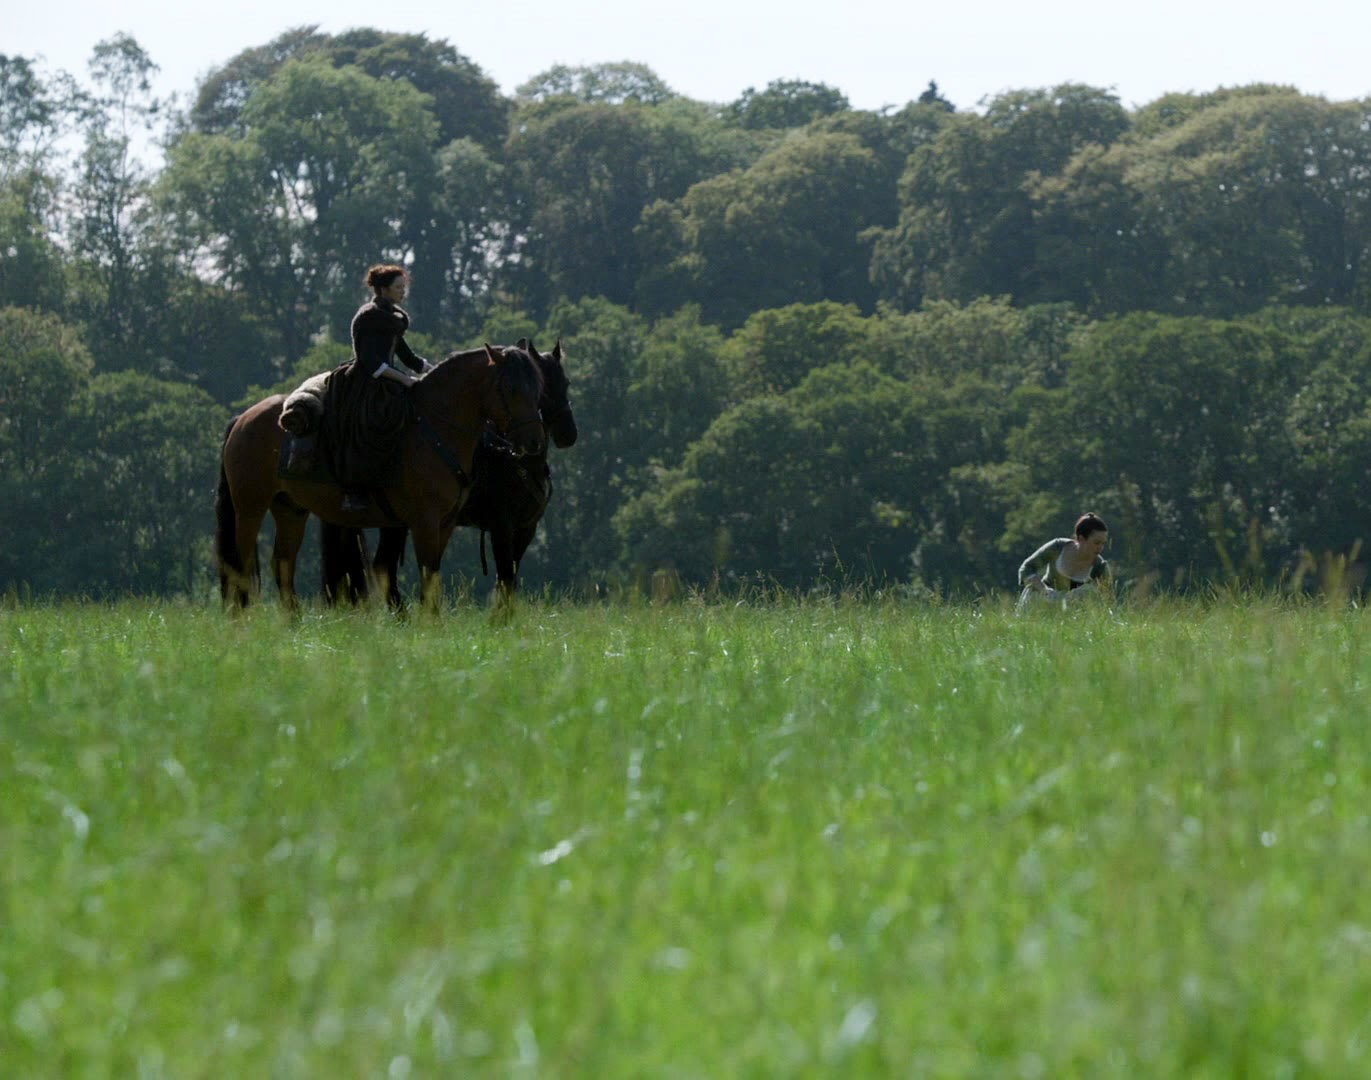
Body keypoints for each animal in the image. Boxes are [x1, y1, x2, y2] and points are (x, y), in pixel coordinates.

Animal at [215, 343, 545, 610]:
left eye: (538, 386)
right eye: (510, 388)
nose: (534, 441)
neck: (434, 428)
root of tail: (243, 418)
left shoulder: (446, 522)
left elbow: (432, 573)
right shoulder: (424, 521)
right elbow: (426, 571)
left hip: (290, 509)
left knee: (282, 564)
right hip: (250, 509)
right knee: (242, 563)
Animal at [320, 339, 577, 608]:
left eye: (566, 383)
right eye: (544, 388)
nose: (568, 434)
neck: (518, 462)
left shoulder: (526, 529)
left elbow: (509, 580)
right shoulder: (501, 528)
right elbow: (506, 577)